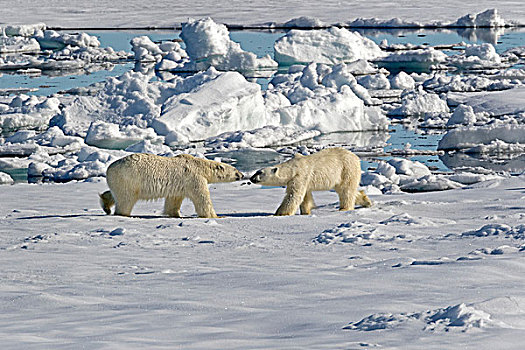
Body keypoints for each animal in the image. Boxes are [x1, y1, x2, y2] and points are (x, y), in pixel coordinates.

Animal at [99, 152, 243, 216]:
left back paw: (106, 205)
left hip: (120, 180)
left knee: (115, 194)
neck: (200, 166)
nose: (242, 175)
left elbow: (173, 200)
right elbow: (202, 198)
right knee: (126, 199)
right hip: (129, 178)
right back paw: (123, 213)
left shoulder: (179, 185)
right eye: (235, 170)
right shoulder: (194, 178)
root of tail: (109, 168)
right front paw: (215, 215)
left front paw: (175, 214)